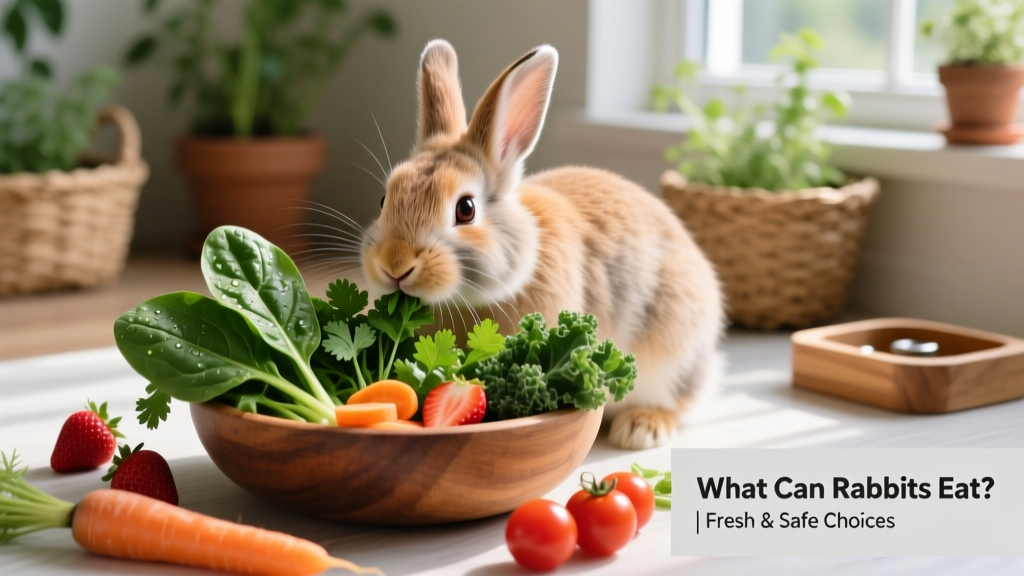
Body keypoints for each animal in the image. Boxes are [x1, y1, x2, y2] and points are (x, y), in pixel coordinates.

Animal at [360, 39, 724, 450]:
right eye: (384, 200)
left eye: (466, 209)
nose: (395, 265)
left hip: (674, 352)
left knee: (675, 400)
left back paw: (640, 429)